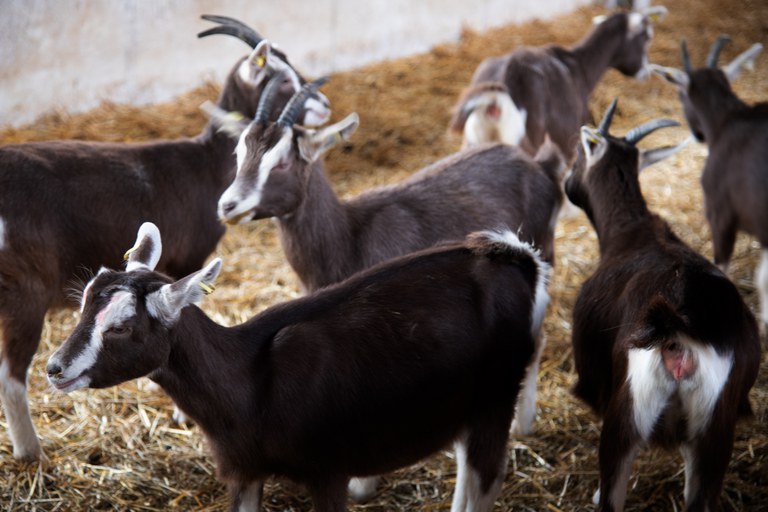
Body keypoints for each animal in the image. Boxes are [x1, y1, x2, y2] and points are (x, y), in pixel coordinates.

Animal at [0, 14, 328, 462]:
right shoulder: (187, 259)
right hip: (25, 292)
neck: (205, 162)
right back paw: (30, 451)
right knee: (11, 374)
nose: (325, 105)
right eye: (285, 81)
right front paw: (180, 414)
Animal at [46, 223, 552, 512]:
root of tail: (518, 258)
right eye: (84, 304)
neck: (251, 381)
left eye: (121, 327)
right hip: (465, 406)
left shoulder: (329, 469)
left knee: (485, 480)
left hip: (497, 396)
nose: (54, 367)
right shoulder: (243, 471)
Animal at [564, 99, 760, 508]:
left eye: (578, 154)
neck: (629, 232)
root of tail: (678, 325)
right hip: (715, 433)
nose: (567, 184)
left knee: (613, 493)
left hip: (626, 420)